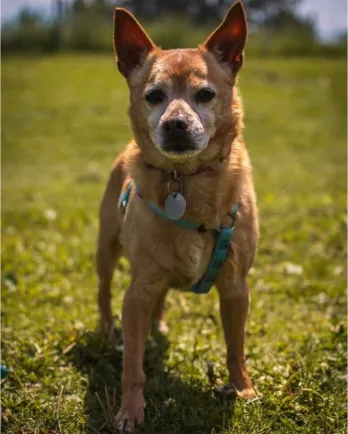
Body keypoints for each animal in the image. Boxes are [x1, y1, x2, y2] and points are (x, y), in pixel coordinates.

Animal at [97, 1, 258, 430]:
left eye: (206, 94)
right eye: (154, 96)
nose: (175, 124)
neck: (185, 183)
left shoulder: (235, 288)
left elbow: (235, 346)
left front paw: (243, 389)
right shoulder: (136, 293)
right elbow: (133, 366)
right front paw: (130, 411)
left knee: (163, 297)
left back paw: (159, 324)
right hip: (106, 250)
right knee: (104, 292)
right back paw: (104, 330)